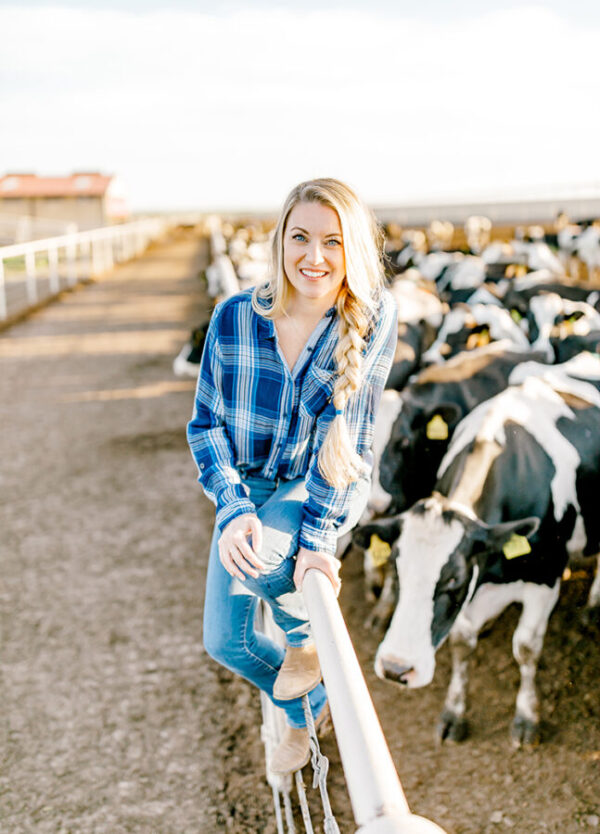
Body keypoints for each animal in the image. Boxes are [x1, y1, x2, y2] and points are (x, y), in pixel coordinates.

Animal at [356, 374, 600, 744]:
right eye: (397, 570)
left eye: (454, 579)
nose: (397, 669)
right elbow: (461, 645)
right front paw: (454, 712)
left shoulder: (546, 579)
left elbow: (526, 648)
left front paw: (526, 717)